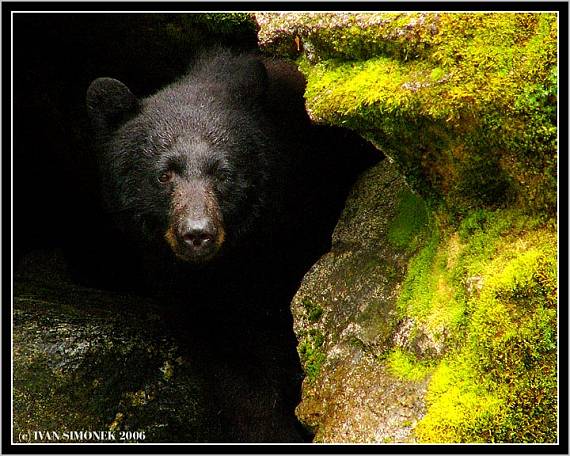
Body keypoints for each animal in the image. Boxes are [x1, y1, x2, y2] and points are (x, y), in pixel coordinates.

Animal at [85, 49, 378, 442]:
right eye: (164, 174)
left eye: (223, 173)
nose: (197, 233)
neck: (229, 262)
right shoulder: (184, 284)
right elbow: (235, 364)